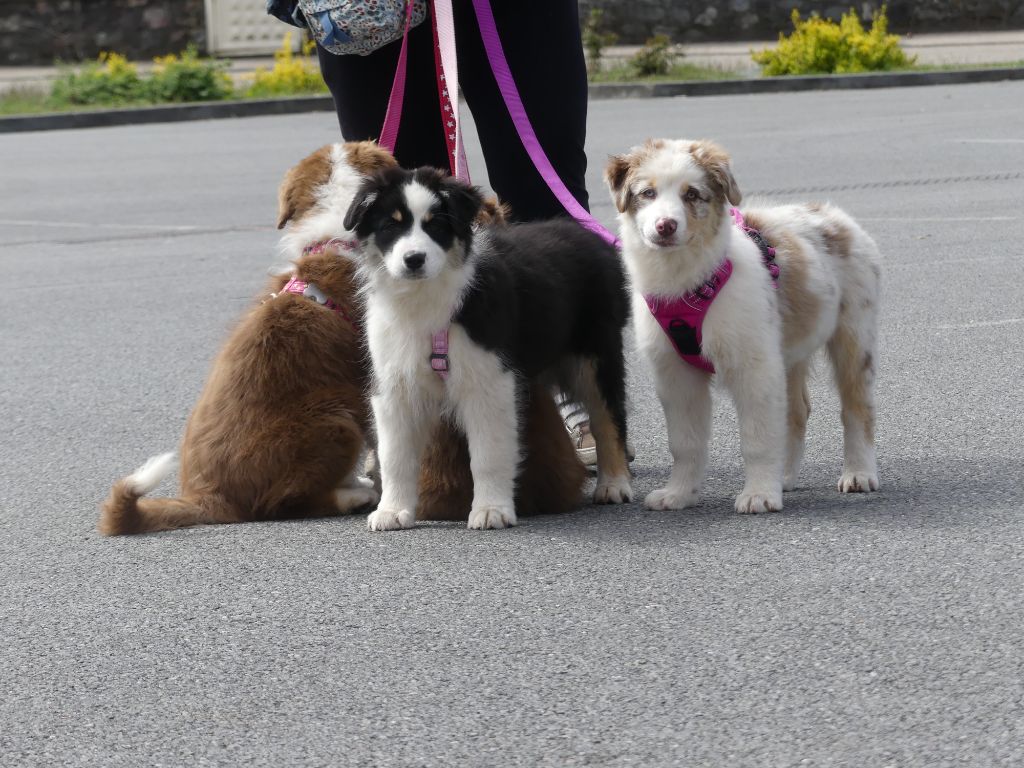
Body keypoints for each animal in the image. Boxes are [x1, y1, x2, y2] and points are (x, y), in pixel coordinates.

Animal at [344, 166, 630, 528]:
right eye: (390, 226)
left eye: (436, 225)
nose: (414, 259)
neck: (424, 300)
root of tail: (588, 235)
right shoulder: (396, 384)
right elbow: (395, 454)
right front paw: (393, 511)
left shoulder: (489, 381)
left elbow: (488, 453)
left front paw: (491, 509)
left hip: (596, 353)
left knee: (608, 417)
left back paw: (614, 484)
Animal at [606, 140, 880, 512]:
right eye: (648, 193)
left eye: (692, 194)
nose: (665, 226)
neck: (689, 283)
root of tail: (834, 214)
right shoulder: (676, 374)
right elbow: (685, 442)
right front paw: (679, 493)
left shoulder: (754, 366)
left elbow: (757, 437)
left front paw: (759, 494)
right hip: (787, 348)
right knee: (796, 411)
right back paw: (784, 477)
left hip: (854, 334)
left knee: (856, 407)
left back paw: (859, 473)